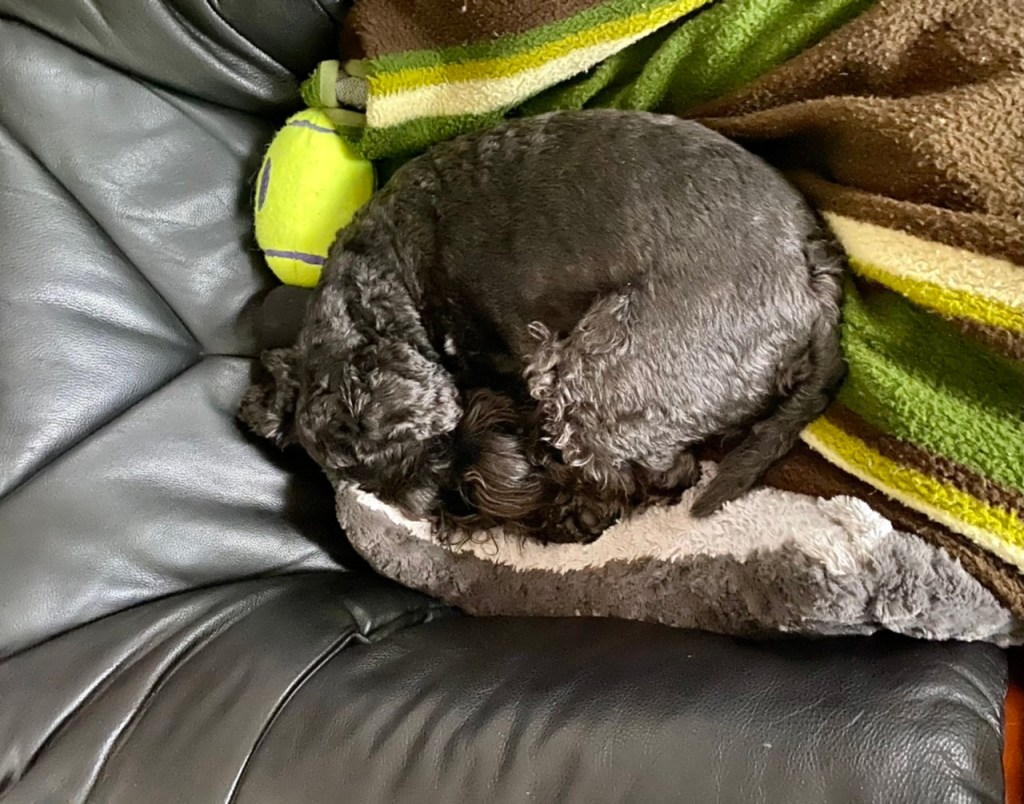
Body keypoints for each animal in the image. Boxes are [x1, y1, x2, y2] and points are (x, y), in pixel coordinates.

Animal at [239, 109, 846, 544]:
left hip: (592, 376)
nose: (462, 504)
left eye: (441, 449)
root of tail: (814, 276)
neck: (390, 274)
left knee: (656, 471)